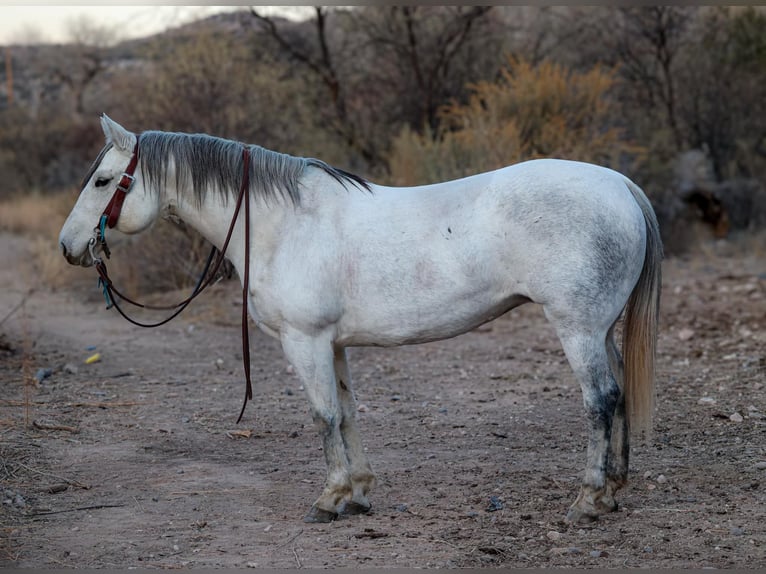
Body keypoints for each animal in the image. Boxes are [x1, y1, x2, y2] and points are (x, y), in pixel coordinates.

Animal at [59, 115, 662, 524]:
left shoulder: (304, 342)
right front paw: (360, 492)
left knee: (600, 400)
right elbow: (347, 414)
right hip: (601, 329)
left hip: (577, 328)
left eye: (102, 180)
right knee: (619, 394)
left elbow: (323, 416)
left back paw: (588, 498)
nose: (68, 246)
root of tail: (621, 185)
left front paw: (329, 498)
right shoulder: (333, 344)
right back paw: (613, 491)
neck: (283, 223)